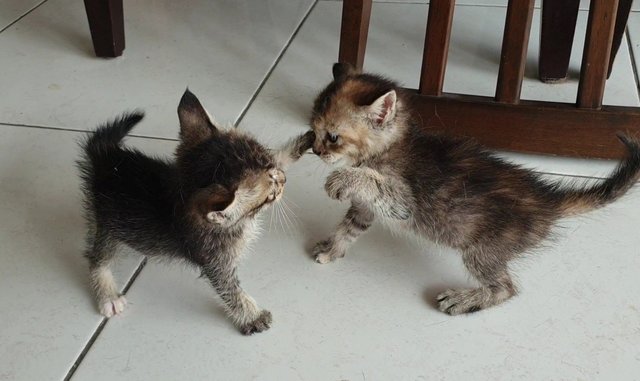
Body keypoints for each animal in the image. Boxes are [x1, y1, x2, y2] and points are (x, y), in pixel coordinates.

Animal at [308, 63, 636, 314]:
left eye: (333, 137)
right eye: (313, 130)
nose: (315, 150)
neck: (387, 148)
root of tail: (547, 199)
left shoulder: (403, 200)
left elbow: (370, 181)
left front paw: (341, 179)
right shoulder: (365, 208)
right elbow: (349, 228)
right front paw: (332, 248)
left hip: (483, 250)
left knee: (506, 288)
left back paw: (465, 300)